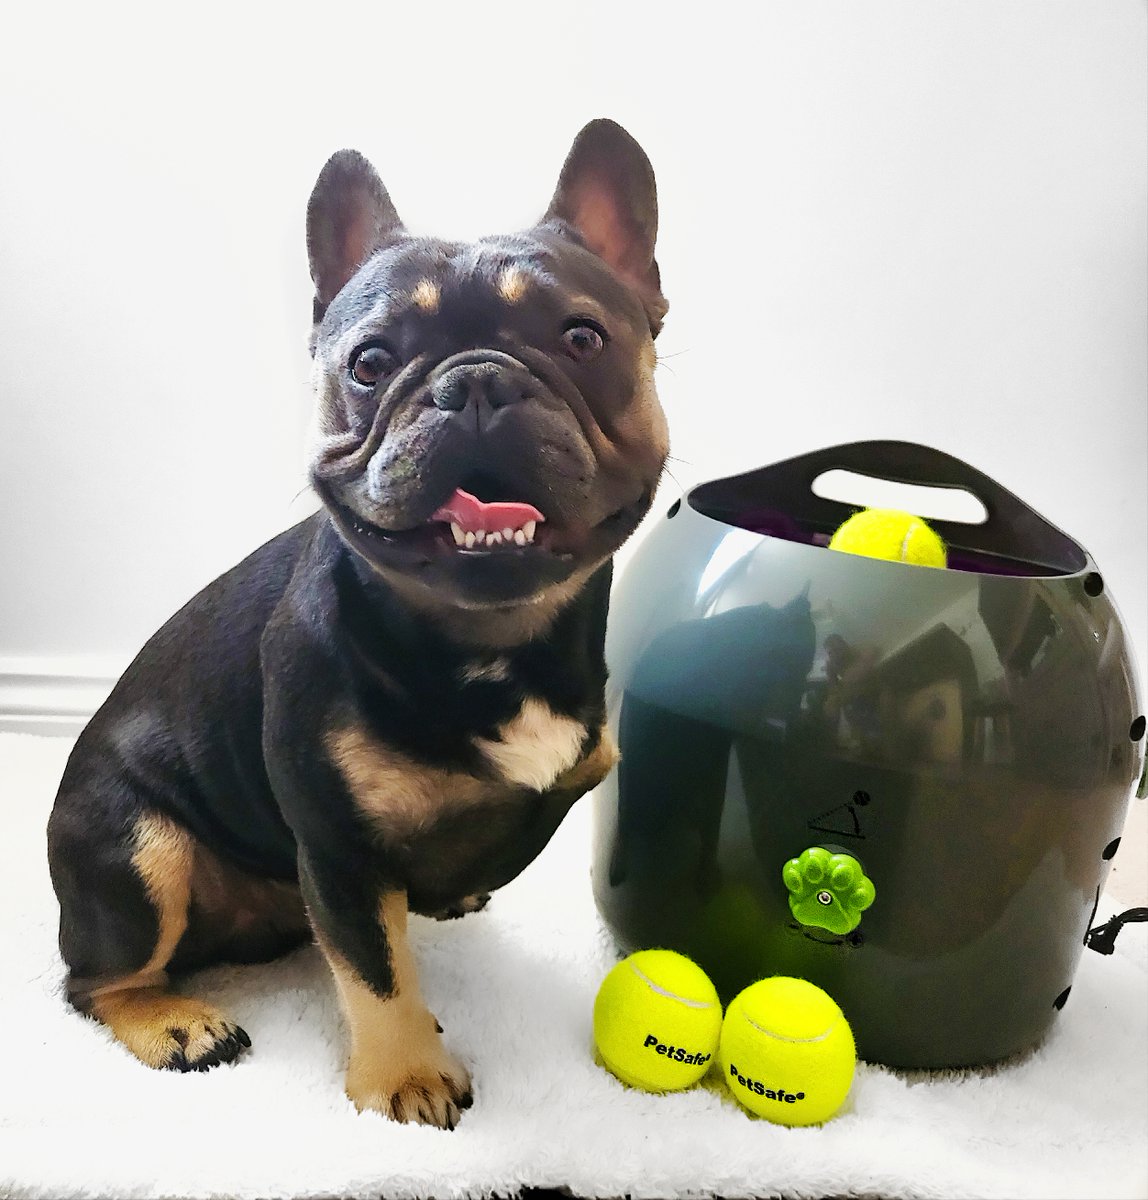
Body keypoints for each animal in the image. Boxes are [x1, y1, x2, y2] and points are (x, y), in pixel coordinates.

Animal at [46, 118, 669, 1128]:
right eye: (370, 364)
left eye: (582, 338)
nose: (476, 383)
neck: (493, 640)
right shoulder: (341, 850)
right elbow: (376, 972)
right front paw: (405, 1075)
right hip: (139, 855)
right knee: (94, 981)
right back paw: (176, 1022)